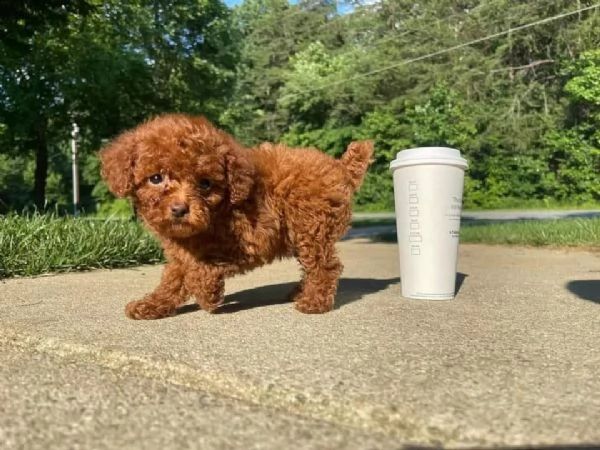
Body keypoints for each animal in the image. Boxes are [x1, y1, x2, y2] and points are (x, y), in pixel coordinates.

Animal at [100, 116, 372, 320]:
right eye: (155, 178)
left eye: (205, 184)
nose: (179, 209)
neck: (215, 213)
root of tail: (340, 167)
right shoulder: (180, 254)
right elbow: (174, 280)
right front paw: (152, 305)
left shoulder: (251, 240)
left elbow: (202, 267)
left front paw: (207, 293)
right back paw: (300, 292)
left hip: (312, 227)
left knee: (324, 266)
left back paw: (314, 301)